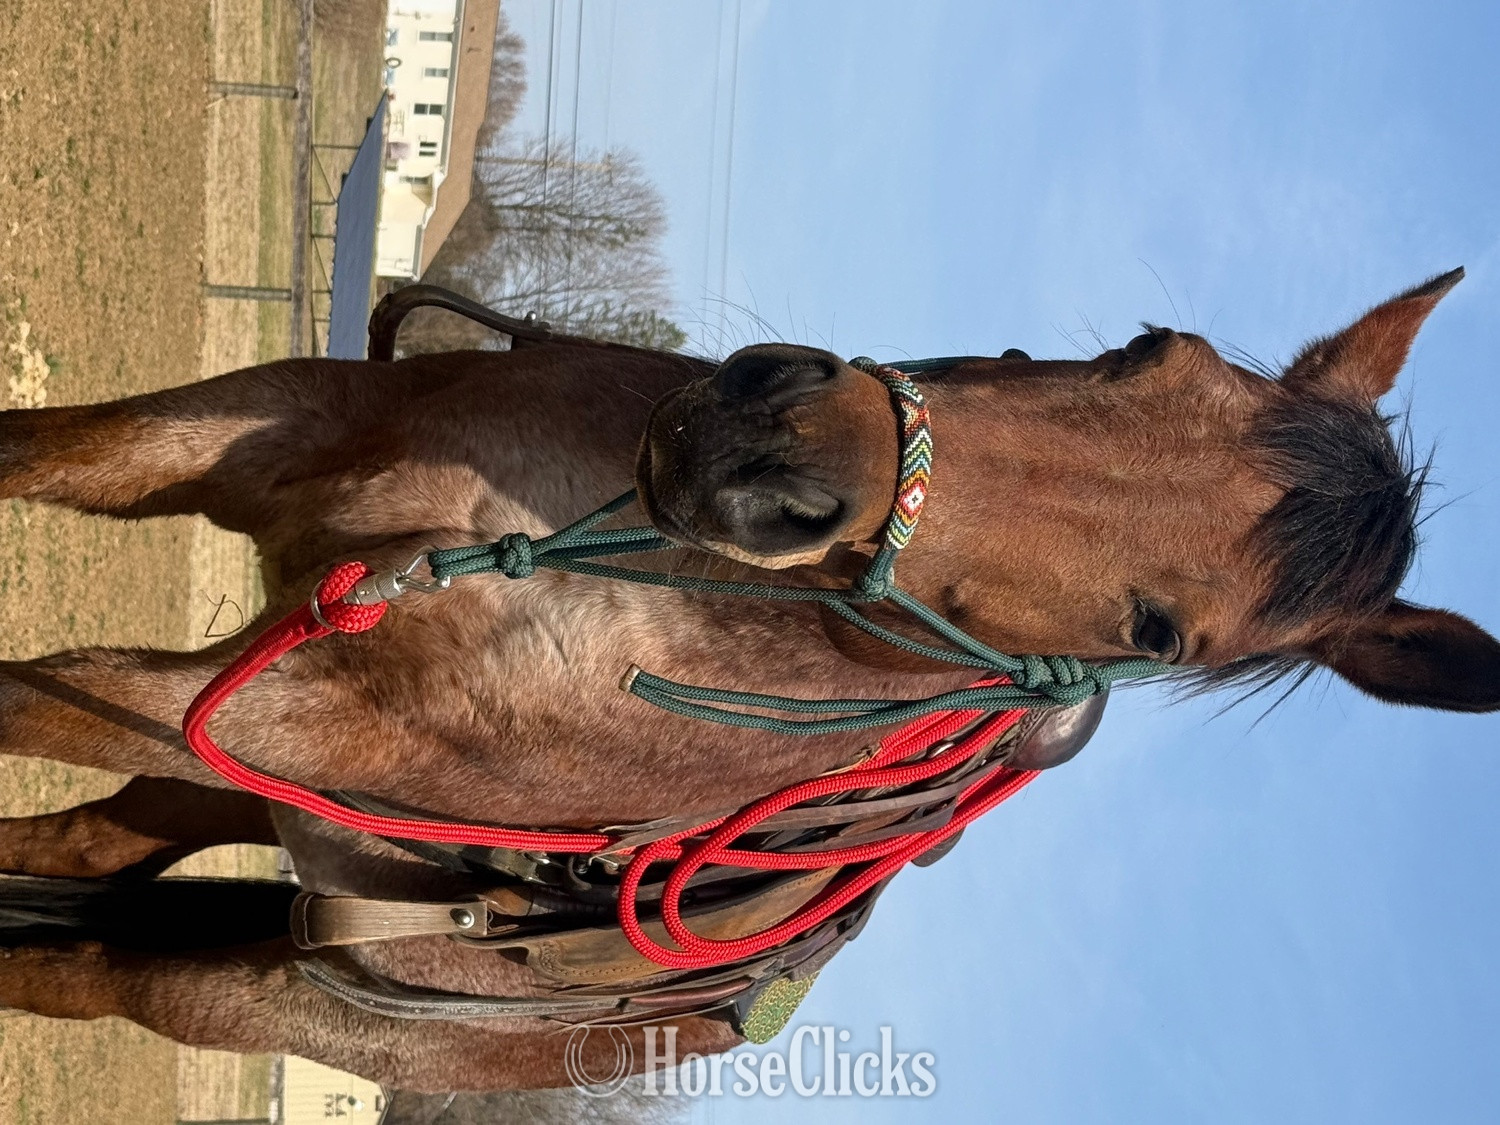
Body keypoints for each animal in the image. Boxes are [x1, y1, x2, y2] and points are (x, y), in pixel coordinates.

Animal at [0, 268, 1494, 1091]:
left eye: (1168, 630)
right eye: (1146, 348)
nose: (771, 447)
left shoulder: (286, 720)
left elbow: (33, 690)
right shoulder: (257, 430)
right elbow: (41, 459)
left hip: (294, 962)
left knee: (99, 965)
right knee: (92, 853)